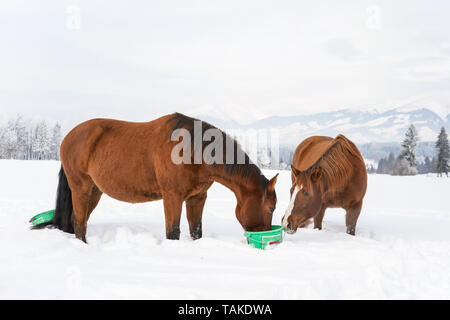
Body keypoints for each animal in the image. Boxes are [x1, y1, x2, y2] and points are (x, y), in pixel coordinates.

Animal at [37, 113, 278, 242]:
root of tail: (69, 137)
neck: (192, 151)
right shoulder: (172, 197)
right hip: (81, 187)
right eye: (271, 207)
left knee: (80, 220)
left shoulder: (197, 198)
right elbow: (173, 232)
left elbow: (196, 231)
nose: (265, 235)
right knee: (79, 222)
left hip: (95, 191)